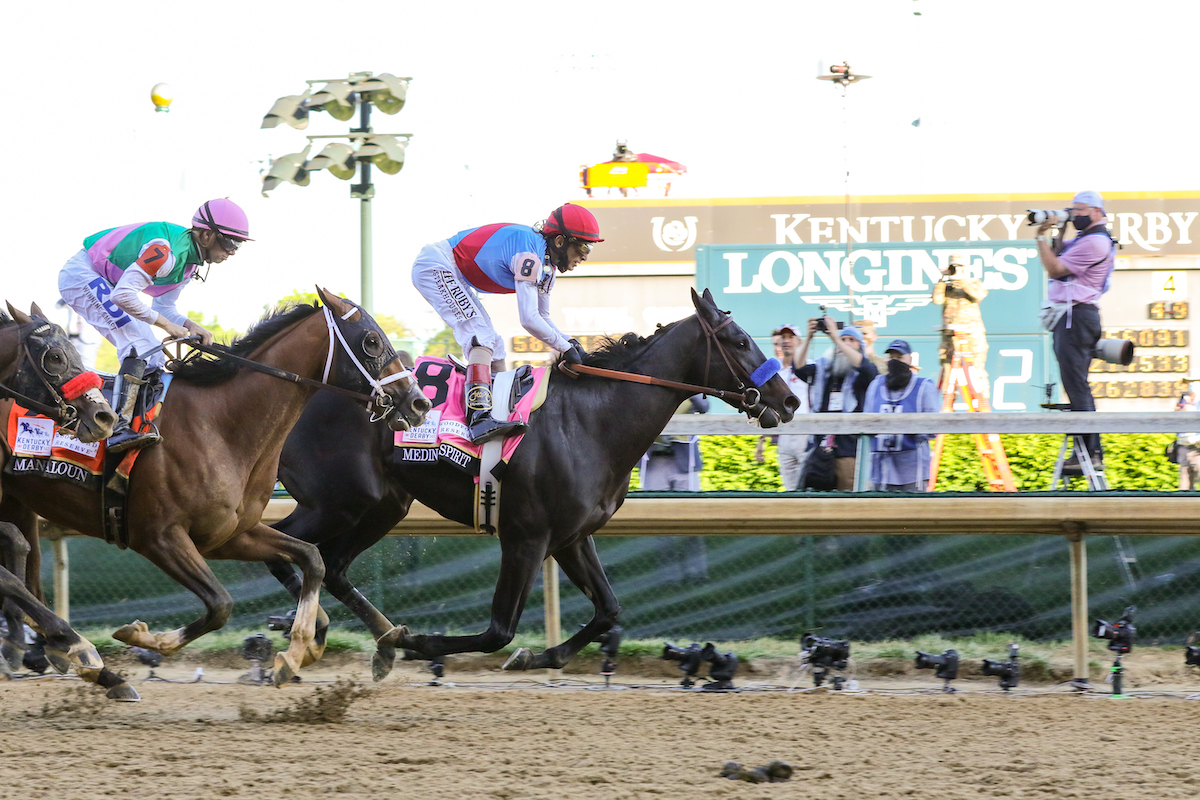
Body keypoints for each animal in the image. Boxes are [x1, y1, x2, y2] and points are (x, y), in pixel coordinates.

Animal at [271, 287, 796, 676]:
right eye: (740, 341)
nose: (788, 399)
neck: (591, 421)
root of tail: (303, 386)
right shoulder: (525, 537)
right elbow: (498, 632)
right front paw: (422, 642)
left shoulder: (571, 537)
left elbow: (609, 609)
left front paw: (540, 656)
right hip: (334, 502)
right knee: (287, 548)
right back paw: (313, 628)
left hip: (381, 506)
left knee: (332, 566)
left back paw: (360, 636)